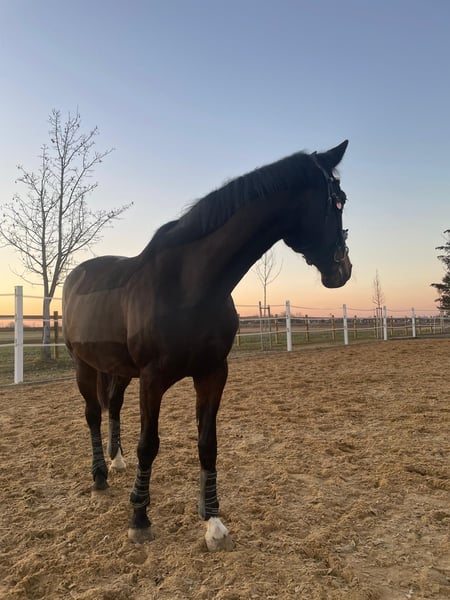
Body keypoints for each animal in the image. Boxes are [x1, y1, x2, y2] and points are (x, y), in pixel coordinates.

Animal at [62, 140, 352, 549]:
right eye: (339, 201)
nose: (344, 269)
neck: (192, 284)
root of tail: (76, 275)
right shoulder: (152, 379)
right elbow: (148, 444)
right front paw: (139, 518)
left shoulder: (212, 373)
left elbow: (207, 443)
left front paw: (214, 523)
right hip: (83, 365)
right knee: (91, 414)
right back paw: (101, 477)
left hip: (117, 369)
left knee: (113, 406)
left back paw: (116, 462)